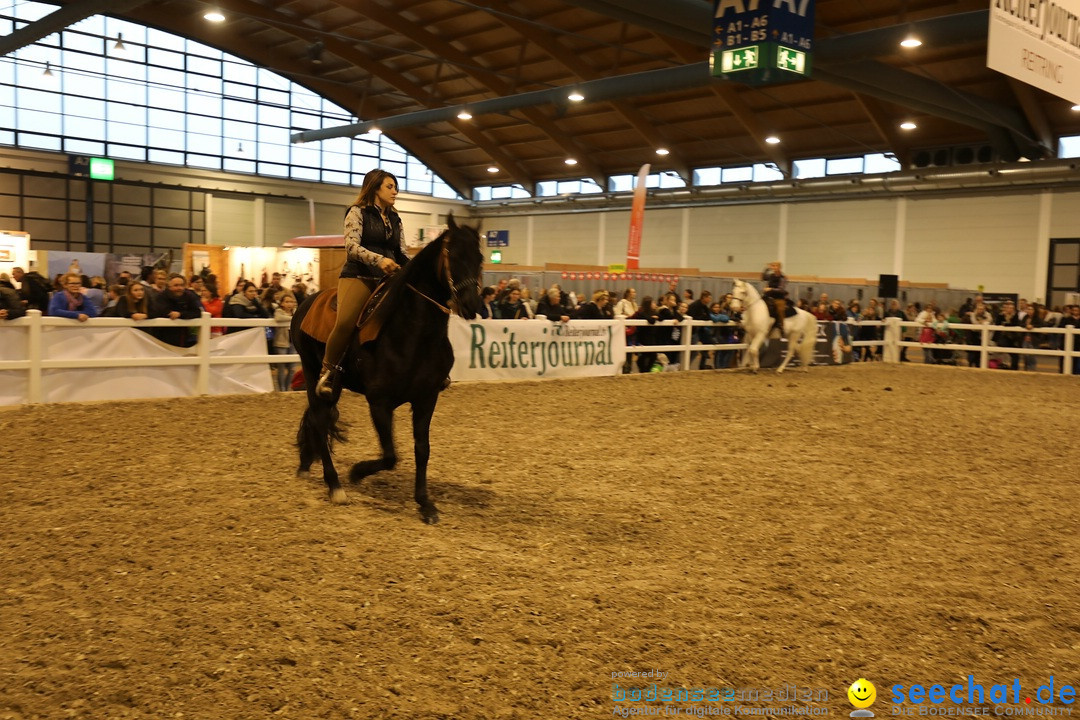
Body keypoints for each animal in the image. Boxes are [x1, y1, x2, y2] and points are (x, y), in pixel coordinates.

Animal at [291, 213, 486, 524]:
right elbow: (390, 455)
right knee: (320, 423)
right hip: (312, 373)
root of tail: (305, 301)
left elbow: (422, 449)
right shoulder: (379, 403)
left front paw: (425, 503)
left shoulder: (426, 399)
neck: (411, 334)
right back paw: (335, 486)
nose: (472, 305)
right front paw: (357, 472)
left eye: (479, 257)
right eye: (454, 255)